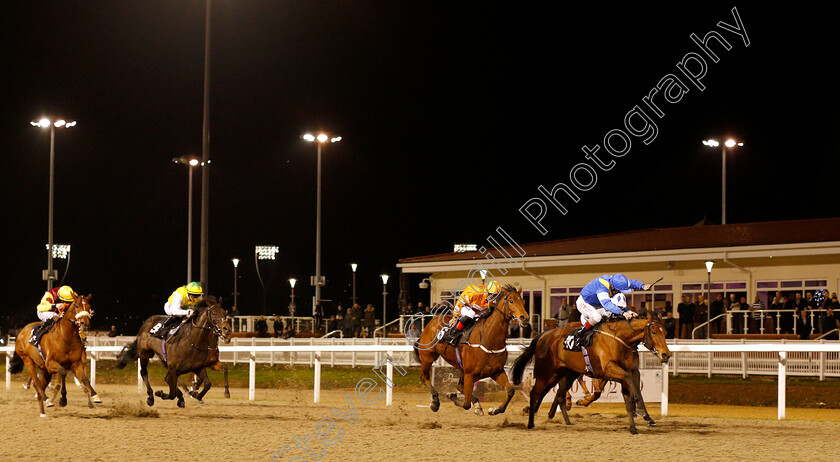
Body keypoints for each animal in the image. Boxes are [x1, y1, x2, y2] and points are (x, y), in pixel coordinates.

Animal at [412, 284, 528, 416]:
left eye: (523, 301)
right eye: (511, 301)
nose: (524, 318)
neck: (489, 338)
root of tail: (430, 323)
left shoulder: (496, 371)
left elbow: (510, 391)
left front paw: (494, 409)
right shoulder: (470, 373)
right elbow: (466, 403)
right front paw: (461, 401)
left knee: (459, 386)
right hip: (428, 357)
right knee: (424, 377)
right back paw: (435, 402)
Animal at [512, 312, 668, 434]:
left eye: (665, 332)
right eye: (654, 332)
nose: (666, 354)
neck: (620, 339)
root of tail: (544, 335)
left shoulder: (631, 371)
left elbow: (631, 395)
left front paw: (638, 423)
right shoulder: (610, 368)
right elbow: (628, 384)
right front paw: (642, 412)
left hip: (563, 373)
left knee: (556, 393)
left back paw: (561, 418)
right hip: (545, 372)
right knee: (536, 392)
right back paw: (531, 422)